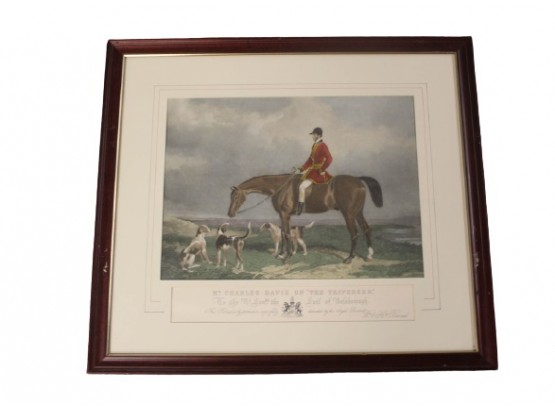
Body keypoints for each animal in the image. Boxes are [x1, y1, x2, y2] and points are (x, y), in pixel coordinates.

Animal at [227, 174, 383, 263]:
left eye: (235, 196)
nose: (230, 214)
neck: (280, 186)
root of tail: (358, 181)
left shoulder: (284, 214)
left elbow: (287, 234)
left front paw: (287, 256)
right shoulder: (283, 215)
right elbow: (283, 233)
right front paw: (281, 254)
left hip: (349, 214)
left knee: (354, 233)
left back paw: (349, 258)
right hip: (358, 212)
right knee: (367, 229)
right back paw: (369, 256)